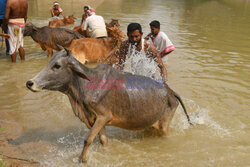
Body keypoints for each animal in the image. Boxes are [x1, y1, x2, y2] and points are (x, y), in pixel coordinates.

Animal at [25, 50, 191, 162]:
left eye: (57, 65)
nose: (30, 83)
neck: (85, 85)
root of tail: (171, 91)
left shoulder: (103, 116)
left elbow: (87, 140)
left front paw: (81, 160)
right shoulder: (98, 119)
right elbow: (102, 140)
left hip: (164, 126)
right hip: (151, 124)